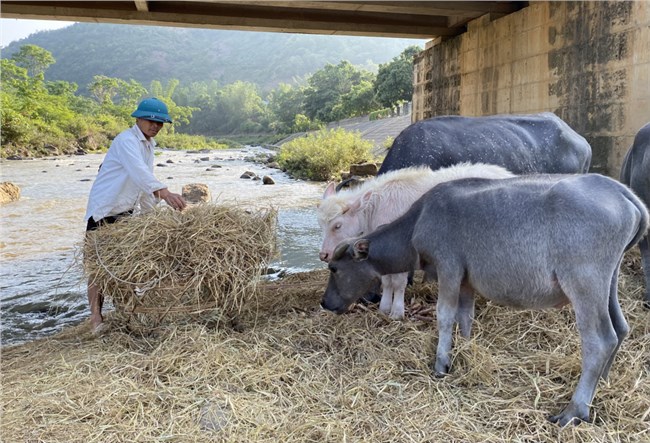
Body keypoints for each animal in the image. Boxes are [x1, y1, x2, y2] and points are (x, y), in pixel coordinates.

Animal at [316, 163, 512, 320]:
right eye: (321, 224)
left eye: (337, 225)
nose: (324, 254)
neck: (376, 207)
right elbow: (387, 280)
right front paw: (384, 309)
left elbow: (398, 282)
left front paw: (397, 312)